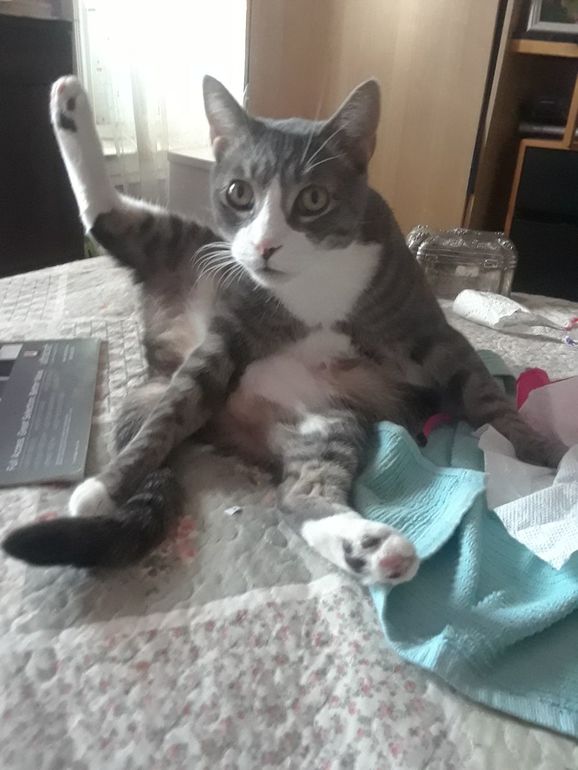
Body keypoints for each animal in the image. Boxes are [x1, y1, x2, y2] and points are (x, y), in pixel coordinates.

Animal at [2, 75, 566, 585]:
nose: (265, 246)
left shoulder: (427, 329)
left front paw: (550, 457)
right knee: (106, 219)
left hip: (330, 419)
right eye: (238, 193)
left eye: (313, 199)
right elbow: (172, 415)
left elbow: (488, 398)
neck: (312, 283)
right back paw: (69, 102)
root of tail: (160, 361)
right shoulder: (231, 334)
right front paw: (107, 487)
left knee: (299, 497)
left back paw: (372, 548)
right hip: (183, 248)